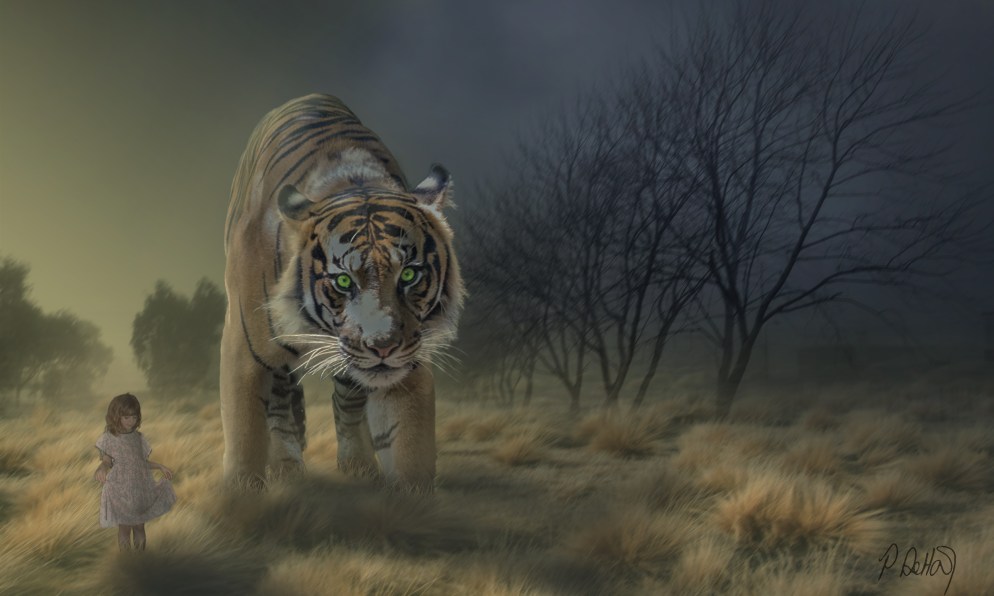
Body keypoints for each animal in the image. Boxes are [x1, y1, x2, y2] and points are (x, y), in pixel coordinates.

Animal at [221, 93, 464, 491]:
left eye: (409, 274)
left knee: (347, 399)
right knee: (280, 403)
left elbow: (408, 444)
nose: (383, 346)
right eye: (344, 281)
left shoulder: (407, 362)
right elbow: (245, 433)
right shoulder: (244, 352)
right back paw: (286, 467)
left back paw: (358, 464)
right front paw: (242, 494)